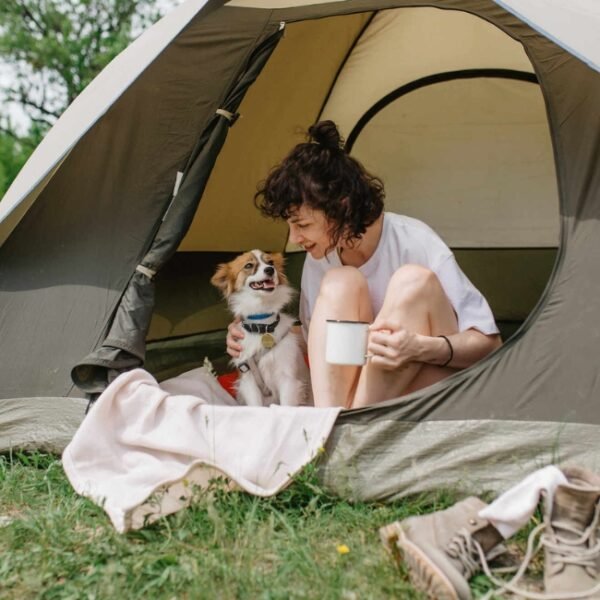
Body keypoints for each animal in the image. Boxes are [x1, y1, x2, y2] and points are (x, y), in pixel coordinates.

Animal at [211, 248, 310, 408]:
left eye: (271, 262)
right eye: (248, 265)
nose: (270, 269)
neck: (262, 325)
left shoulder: (287, 379)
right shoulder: (249, 381)